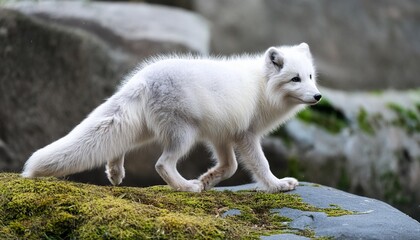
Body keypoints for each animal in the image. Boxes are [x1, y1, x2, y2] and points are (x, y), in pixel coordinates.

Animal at [22, 43, 322, 193]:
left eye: (310, 76)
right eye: (295, 79)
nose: (318, 96)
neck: (261, 88)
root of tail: (142, 77)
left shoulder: (222, 135)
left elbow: (230, 167)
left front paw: (208, 179)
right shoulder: (245, 135)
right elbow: (259, 164)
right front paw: (277, 185)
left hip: (146, 130)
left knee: (120, 145)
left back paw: (116, 173)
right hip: (183, 135)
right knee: (162, 164)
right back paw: (186, 187)